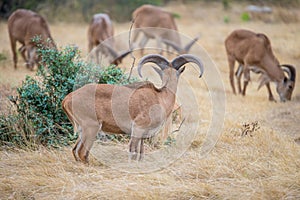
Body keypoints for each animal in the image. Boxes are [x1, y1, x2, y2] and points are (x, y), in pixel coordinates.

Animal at [62, 54, 205, 163]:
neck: (160, 96)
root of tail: (67, 99)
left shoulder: (143, 134)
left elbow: (141, 152)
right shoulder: (137, 128)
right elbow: (133, 150)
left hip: (83, 130)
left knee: (75, 150)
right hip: (91, 127)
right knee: (82, 152)